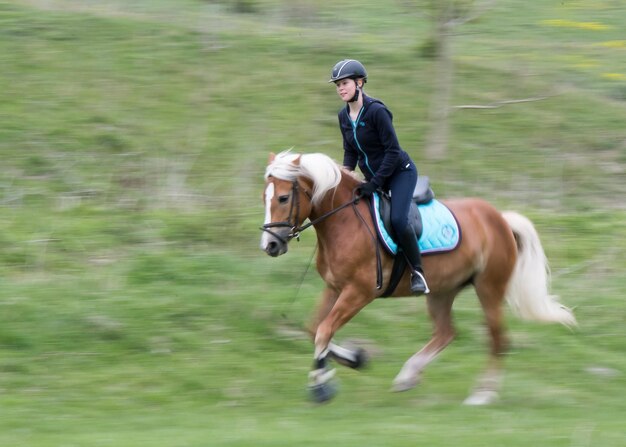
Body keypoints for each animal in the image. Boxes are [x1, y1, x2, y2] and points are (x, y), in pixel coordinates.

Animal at [258, 150, 576, 406]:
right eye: (265, 198)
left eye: (283, 198)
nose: (270, 245)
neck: (344, 222)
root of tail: (500, 219)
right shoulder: (335, 287)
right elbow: (314, 329)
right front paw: (354, 359)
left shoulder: (359, 292)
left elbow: (323, 331)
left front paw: (321, 387)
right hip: (442, 291)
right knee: (446, 333)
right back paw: (408, 376)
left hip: (489, 290)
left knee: (498, 339)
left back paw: (482, 395)